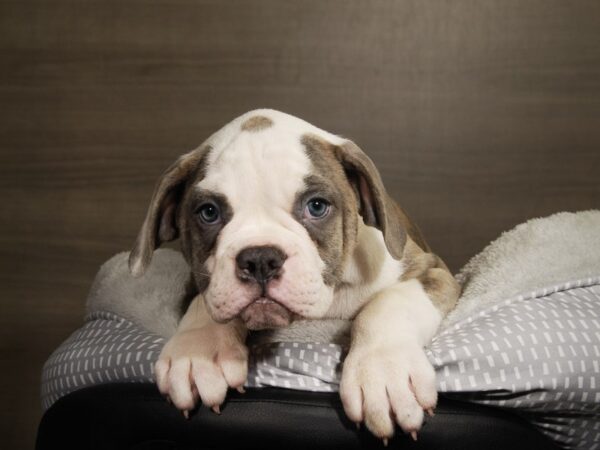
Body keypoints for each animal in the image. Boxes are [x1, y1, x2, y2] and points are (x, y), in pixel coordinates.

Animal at [130, 110, 460, 442]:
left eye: (316, 206)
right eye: (208, 212)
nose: (260, 259)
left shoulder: (429, 270)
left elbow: (390, 303)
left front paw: (384, 369)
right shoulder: (196, 284)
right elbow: (203, 301)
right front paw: (196, 350)